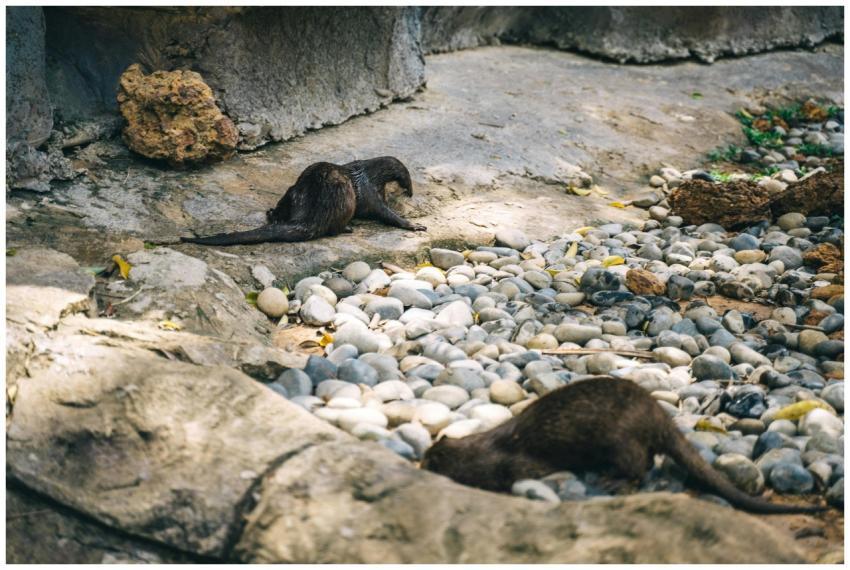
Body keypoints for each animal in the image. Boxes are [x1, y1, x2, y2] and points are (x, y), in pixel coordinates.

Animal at [181, 156, 425, 246]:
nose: (410, 194)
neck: (368, 173)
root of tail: (310, 218)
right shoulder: (370, 191)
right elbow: (385, 213)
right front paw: (412, 224)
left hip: (295, 190)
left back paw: (273, 214)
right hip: (345, 200)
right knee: (333, 229)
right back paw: (347, 228)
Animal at [422, 376, 824, 515]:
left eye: (428, 463)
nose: (420, 462)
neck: (486, 449)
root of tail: (657, 414)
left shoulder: (517, 465)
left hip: (619, 439)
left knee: (641, 466)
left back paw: (613, 481)